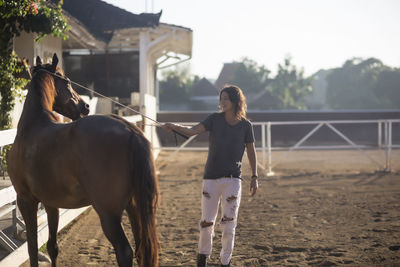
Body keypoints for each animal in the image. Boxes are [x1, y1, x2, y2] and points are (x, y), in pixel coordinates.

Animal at [7, 54, 159, 267]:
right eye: (67, 81)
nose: (85, 106)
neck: (33, 125)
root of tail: (129, 129)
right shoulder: (51, 203)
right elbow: (52, 247)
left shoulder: (26, 200)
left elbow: (32, 249)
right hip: (134, 208)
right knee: (141, 249)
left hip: (108, 214)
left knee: (125, 251)